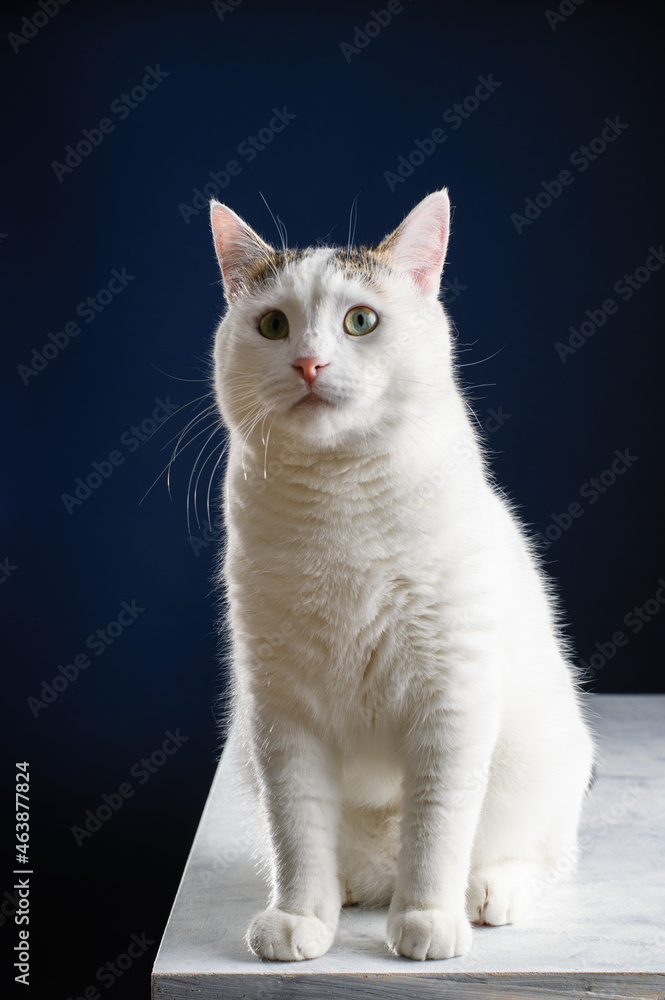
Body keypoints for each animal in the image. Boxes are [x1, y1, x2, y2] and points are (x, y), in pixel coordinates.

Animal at [206, 188, 592, 960]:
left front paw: (425, 919)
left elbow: (436, 826)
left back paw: (485, 893)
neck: (338, 512)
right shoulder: (280, 713)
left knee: (534, 854)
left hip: (546, 764)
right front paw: (300, 917)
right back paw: (348, 892)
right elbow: (296, 829)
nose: (309, 364)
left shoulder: (451, 699)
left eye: (360, 321)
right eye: (273, 325)